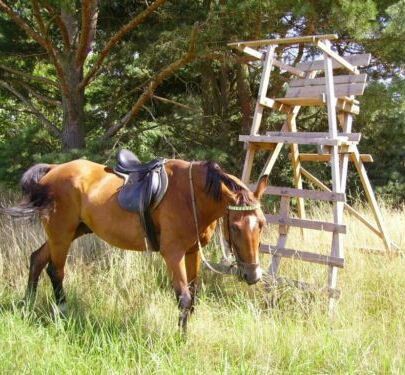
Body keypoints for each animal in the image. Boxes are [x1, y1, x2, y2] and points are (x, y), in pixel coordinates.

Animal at [3, 159, 268, 332]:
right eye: (235, 227)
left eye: (262, 224)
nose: (253, 275)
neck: (191, 195)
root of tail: (53, 169)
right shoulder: (173, 254)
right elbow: (183, 298)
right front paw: (180, 340)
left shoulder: (192, 252)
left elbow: (193, 296)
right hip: (61, 232)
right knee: (56, 271)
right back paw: (63, 313)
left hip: (71, 231)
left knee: (37, 259)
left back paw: (27, 305)